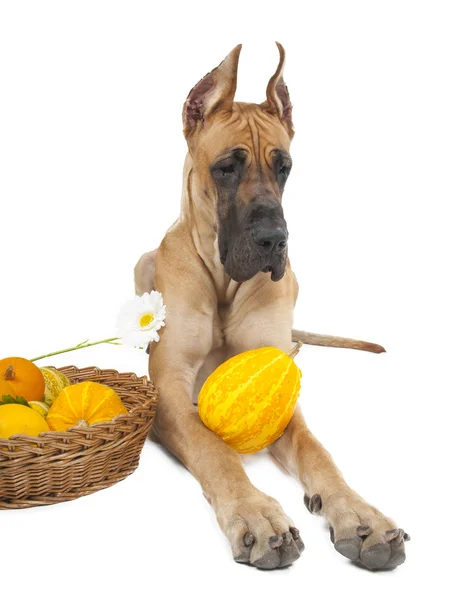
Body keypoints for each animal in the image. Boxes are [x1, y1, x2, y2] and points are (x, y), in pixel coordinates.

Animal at [134, 44, 408, 568]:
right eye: (227, 167)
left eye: (285, 167)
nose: (274, 240)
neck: (224, 282)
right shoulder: (171, 388)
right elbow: (213, 447)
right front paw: (256, 514)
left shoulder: (277, 385)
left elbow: (318, 451)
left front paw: (360, 515)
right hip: (144, 264)